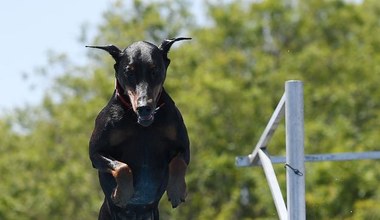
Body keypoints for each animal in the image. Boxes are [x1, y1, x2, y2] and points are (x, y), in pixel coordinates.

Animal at [87, 37, 191, 219]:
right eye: (129, 72)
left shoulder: (183, 146)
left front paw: (177, 191)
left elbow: (179, 162)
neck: (143, 128)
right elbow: (122, 167)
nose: (144, 108)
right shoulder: (96, 153)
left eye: (154, 70)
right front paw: (122, 194)